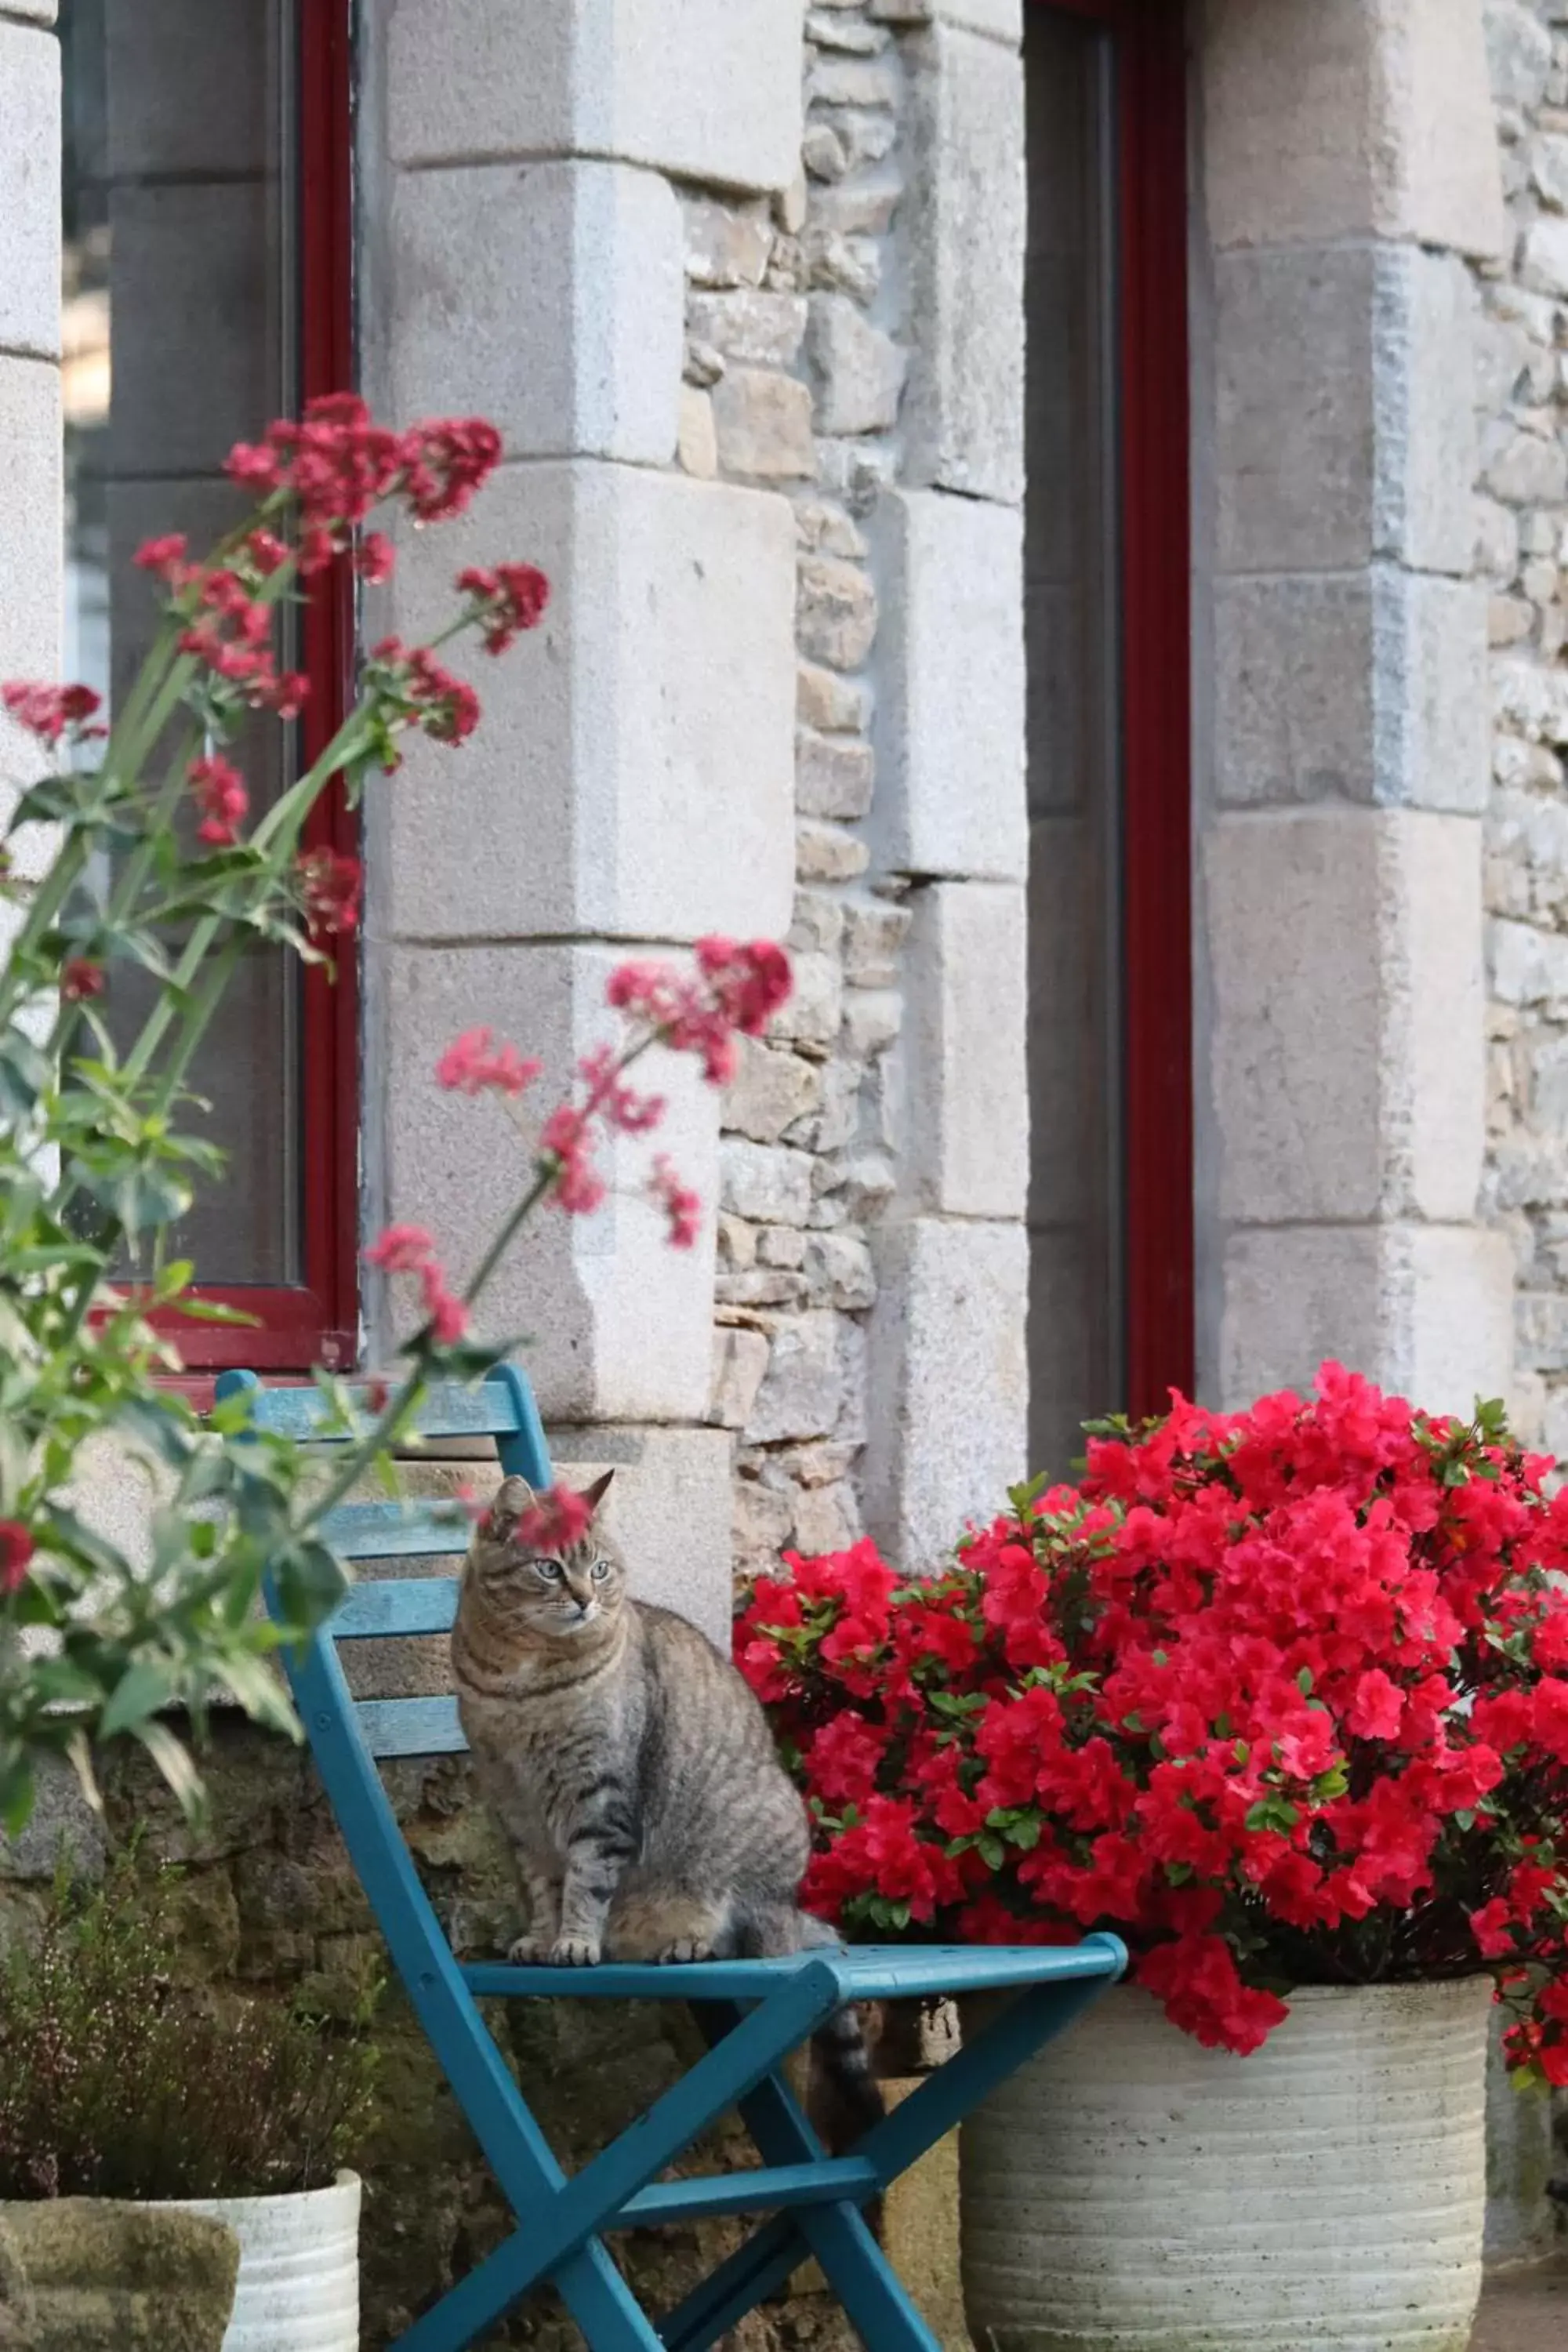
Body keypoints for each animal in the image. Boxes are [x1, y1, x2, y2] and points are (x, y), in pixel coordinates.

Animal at [453, 1477, 884, 2145]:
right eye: (550, 1569)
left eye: (600, 1569)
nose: (585, 1600)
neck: (522, 1684)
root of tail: (794, 1909)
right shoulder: (514, 1806)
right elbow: (542, 1886)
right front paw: (542, 1937)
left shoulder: (600, 1796)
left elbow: (585, 1881)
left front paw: (574, 1941)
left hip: (746, 1871)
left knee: (754, 1942)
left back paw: (691, 1944)